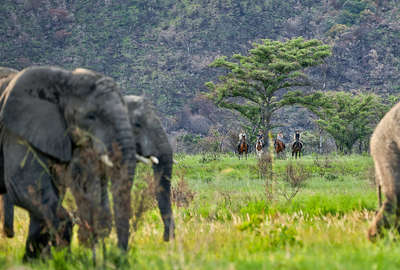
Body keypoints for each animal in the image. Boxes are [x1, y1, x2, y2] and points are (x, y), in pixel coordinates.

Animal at [0, 66, 136, 260]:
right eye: (91, 116)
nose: (118, 257)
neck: (64, 82)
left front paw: (37, 261)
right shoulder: (15, 132)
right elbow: (24, 187)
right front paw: (62, 259)